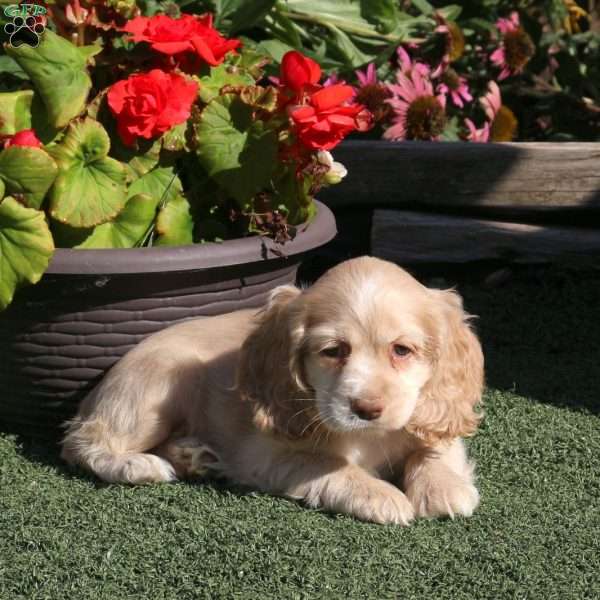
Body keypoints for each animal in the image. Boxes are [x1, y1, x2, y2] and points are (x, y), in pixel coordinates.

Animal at [62, 258, 482, 524]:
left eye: (402, 350)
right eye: (333, 351)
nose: (365, 409)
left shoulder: (433, 414)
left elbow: (436, 446)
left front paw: (443, 490)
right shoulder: (267, 453)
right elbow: (328, 464)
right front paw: (380, 496)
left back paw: (194, 456)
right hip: (157, 387)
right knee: (82, 443)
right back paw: (139, 465)